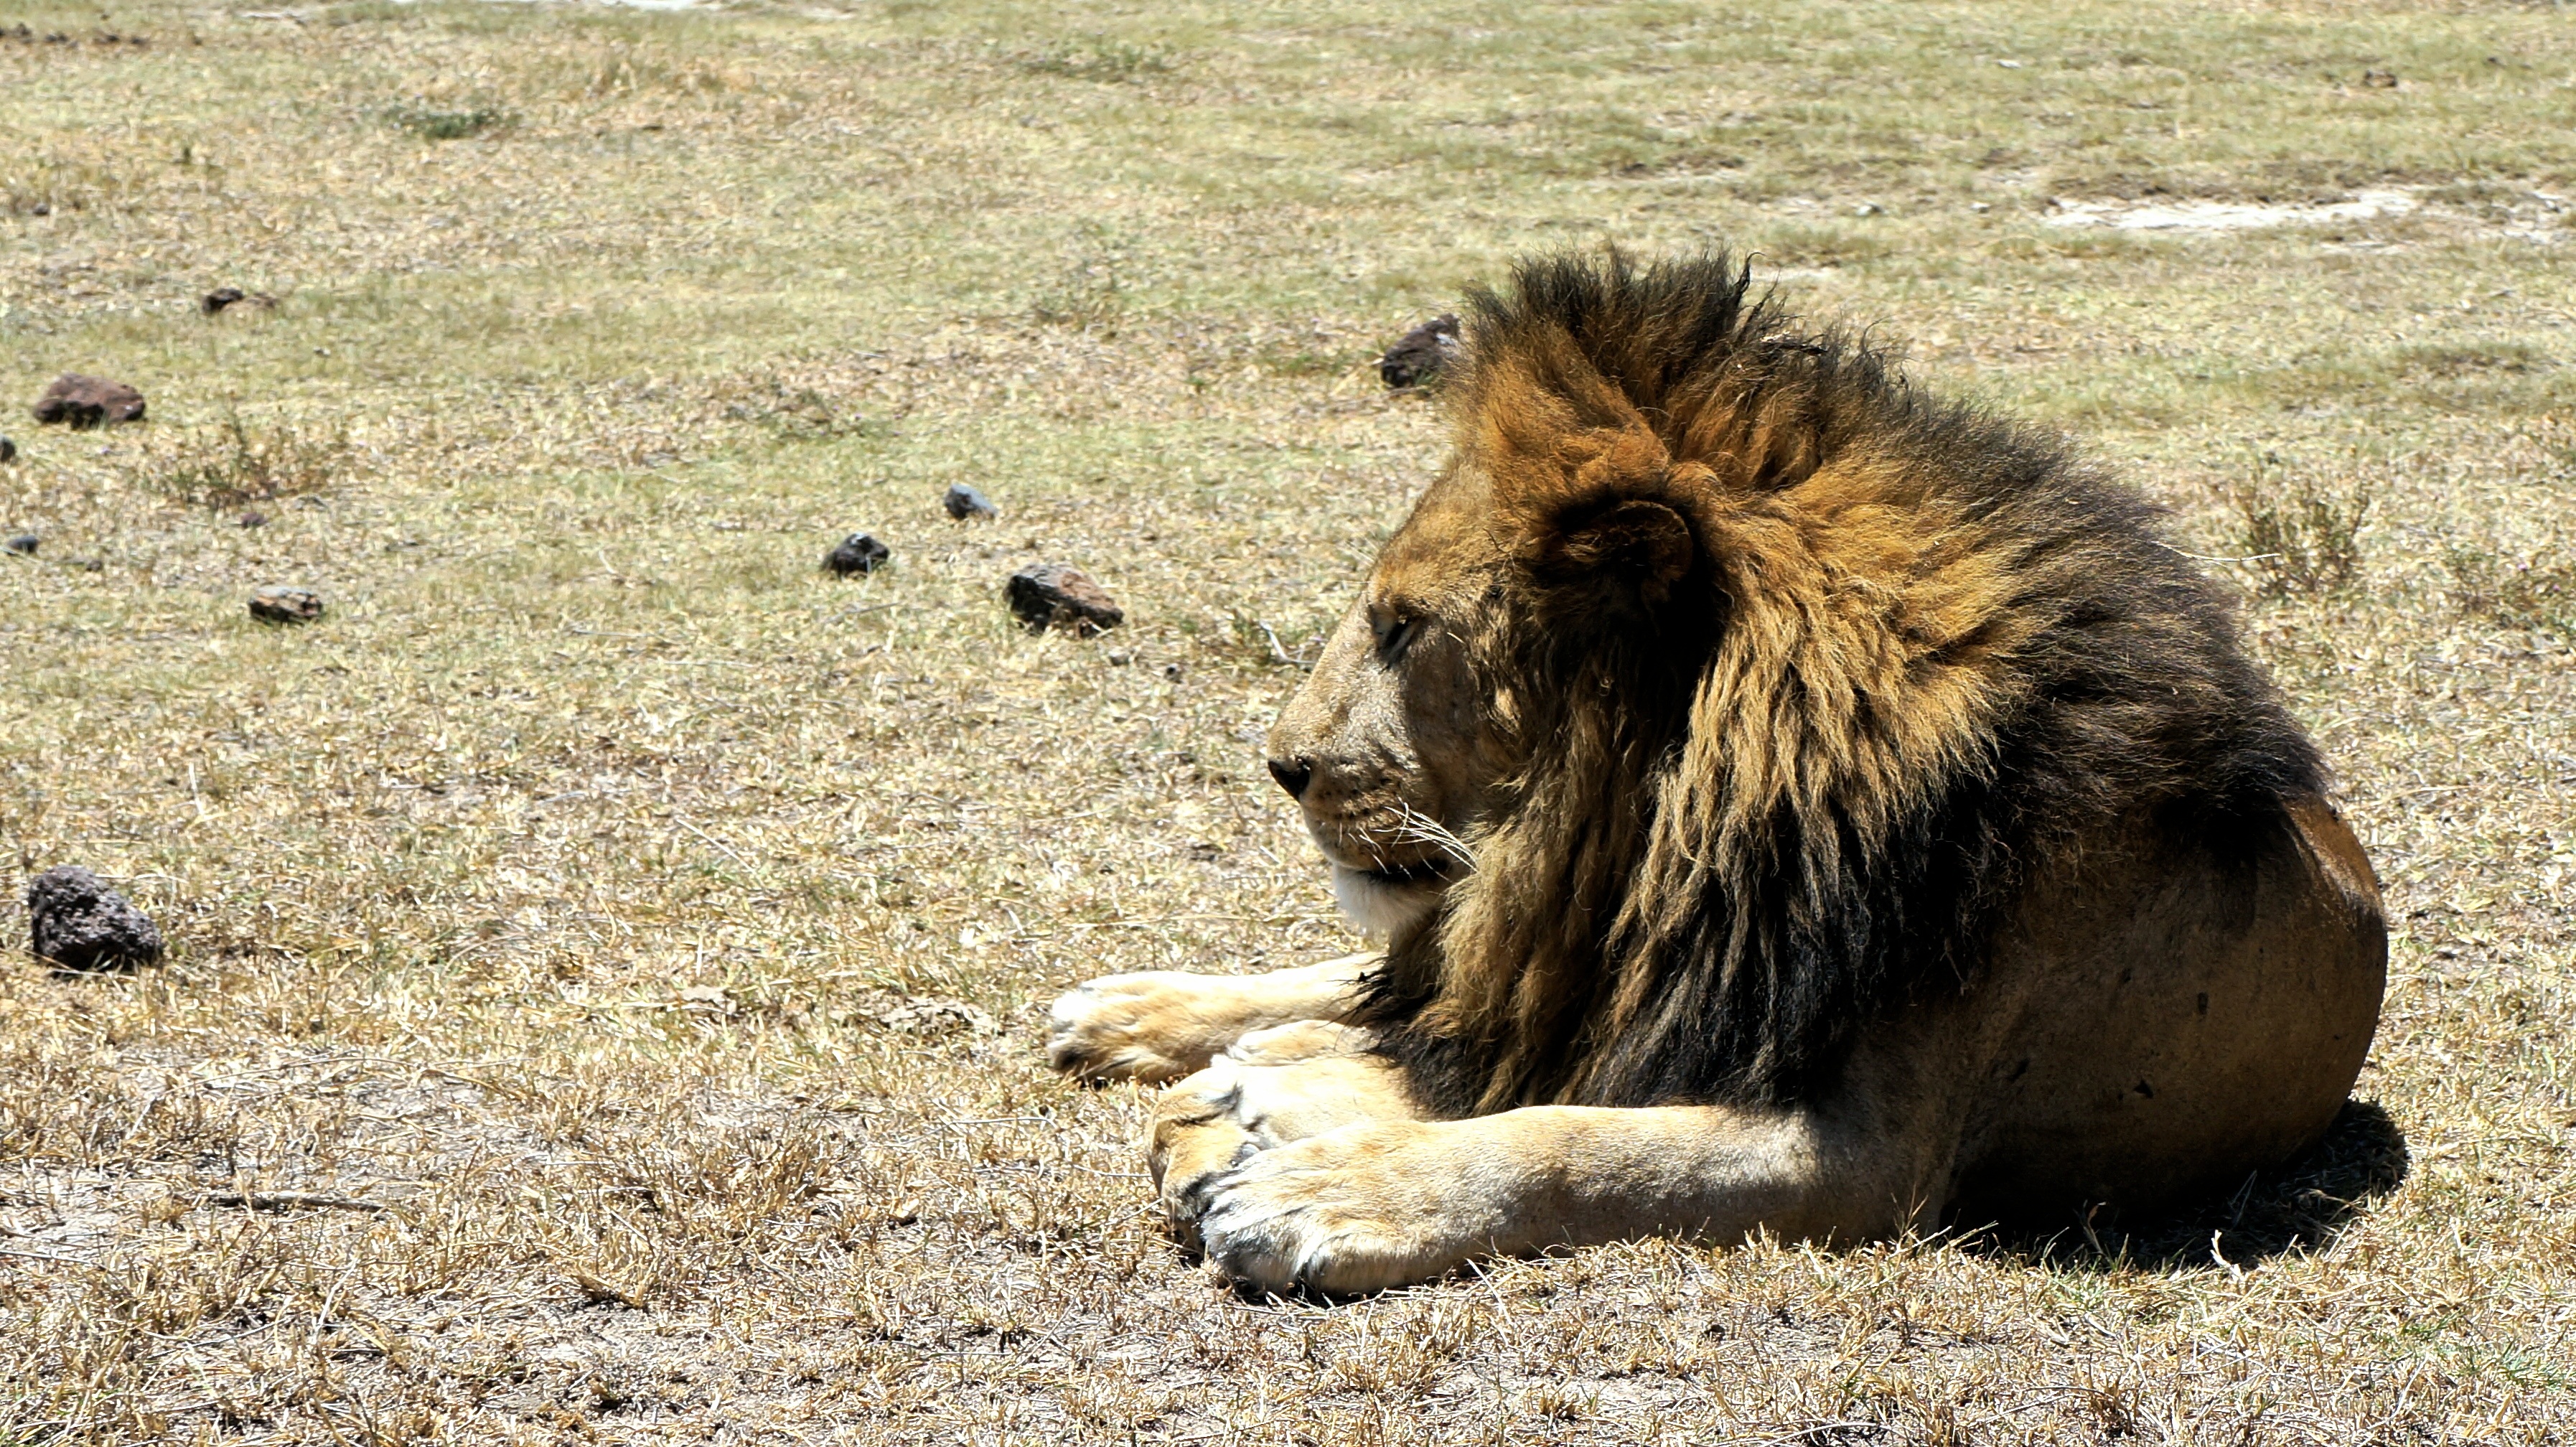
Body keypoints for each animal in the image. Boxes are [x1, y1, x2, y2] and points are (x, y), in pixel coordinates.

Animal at [1047, 252, 2386, 1295]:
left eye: (1402, 627)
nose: (1281, 765)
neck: (1674, 826)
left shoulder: (1870, 1156)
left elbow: (1577, 1142)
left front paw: (1321, 1198)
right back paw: (1134, 1019)